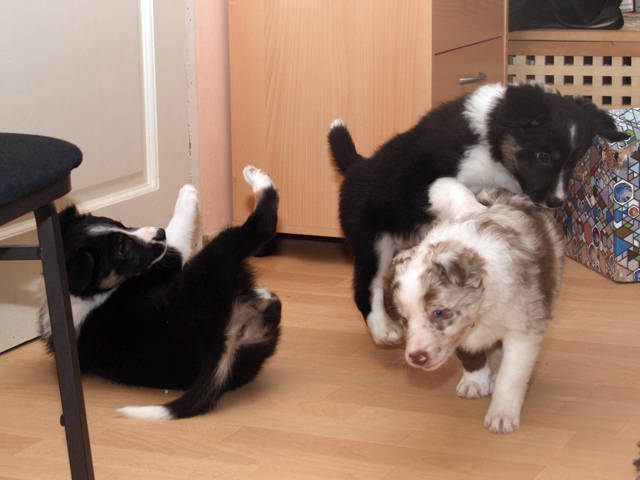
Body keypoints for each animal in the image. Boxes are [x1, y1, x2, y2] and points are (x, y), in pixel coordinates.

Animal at [39, 166, 281, 419]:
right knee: (259, 227)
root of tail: (223, 341)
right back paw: (257, 178)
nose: (159, 232)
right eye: (122, 249)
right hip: (214, 260)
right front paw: (188, 193)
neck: (80, 293)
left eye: (119, 223)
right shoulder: (166, 260)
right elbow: (175, 242)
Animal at [328, 83, 628, 346]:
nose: (555, 202)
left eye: (574, 162)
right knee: (368, 286)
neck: (491, 145)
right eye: (543, 156)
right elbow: (454, 188)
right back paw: (384, 329)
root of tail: (357, 166)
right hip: (373, 240)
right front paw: (476, 212)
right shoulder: (418, 183)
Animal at [383, 177, 565, 433]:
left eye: (439, 312)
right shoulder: (461, 332)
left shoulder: (523, 331)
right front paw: (475, 382)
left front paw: (502, 414)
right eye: (404, 320)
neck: (482, 311)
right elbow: (471, 355)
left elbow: (511, 376)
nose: (416, 357)